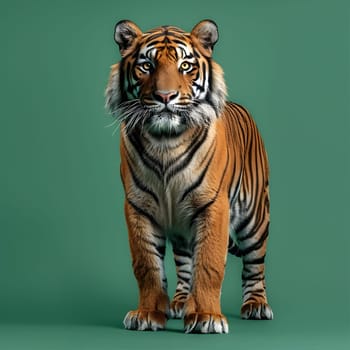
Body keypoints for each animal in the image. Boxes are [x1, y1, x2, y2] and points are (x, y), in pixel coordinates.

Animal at [104, 19, 274, 334]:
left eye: (185, 66)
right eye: (146, 65)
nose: (165, 96)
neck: (165, 142)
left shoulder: (213, 206)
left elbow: (208, 264)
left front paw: (207, 317)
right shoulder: (138, 207)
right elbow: (147, 265)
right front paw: (147, 314)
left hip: (255, 217)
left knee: (255, 264)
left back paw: (256, 305)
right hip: (181, 225)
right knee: (184, 264)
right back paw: (181, 302)